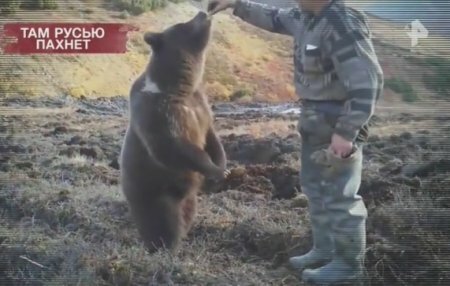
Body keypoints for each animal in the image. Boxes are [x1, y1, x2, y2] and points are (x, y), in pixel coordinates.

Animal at [118, 11, 227, 255]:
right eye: (181, 25)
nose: (202, 12)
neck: (180, 86)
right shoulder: (158, 111)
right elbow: (172, 146)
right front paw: (214, 170)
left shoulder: (200, 105)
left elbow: (212, 137)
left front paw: (222, 166)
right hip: (155, 194)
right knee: (165, 223)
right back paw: (166, 249)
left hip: (187, 198)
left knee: (187, 214)